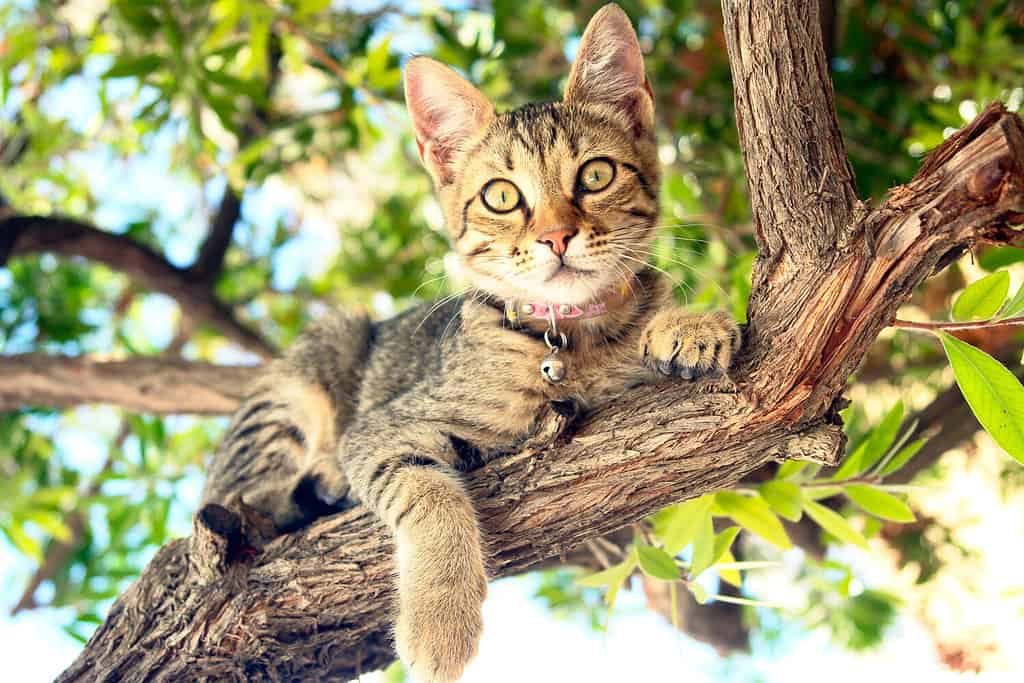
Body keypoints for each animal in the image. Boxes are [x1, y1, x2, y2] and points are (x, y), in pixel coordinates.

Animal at [199, 3, 741, 679]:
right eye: (502, 196)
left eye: (596, 175)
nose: (557, 237)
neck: (571, 343)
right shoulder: (379, 431)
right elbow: (432, 498)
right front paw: (440, 621)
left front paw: (688, 324)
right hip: (307, 376)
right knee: (248, 496)